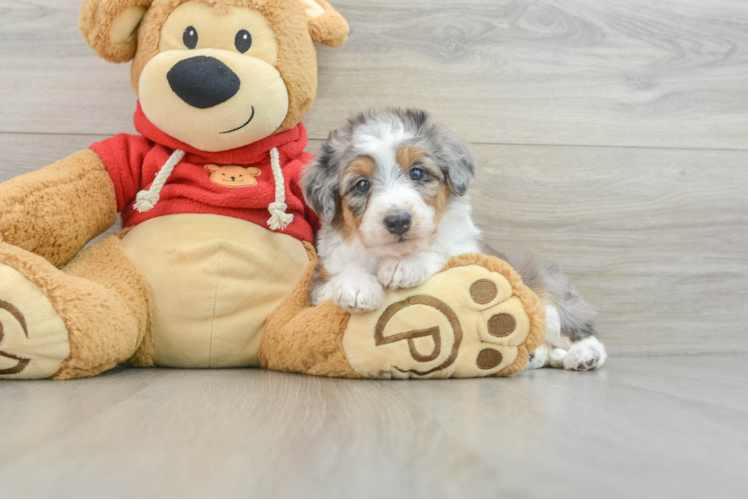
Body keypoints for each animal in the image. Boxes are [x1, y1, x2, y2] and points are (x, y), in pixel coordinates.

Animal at [302, 109, 608, 372]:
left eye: (417, 172)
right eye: (362, 185)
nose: (398, 220)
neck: (391, 251)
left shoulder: (469, 253)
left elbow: (441, 252)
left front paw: (404, 266)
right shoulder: (319, 286)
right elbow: (345, 274)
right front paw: (358, 286)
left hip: (549, 300)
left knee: (576, 330)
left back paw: (585, 356)